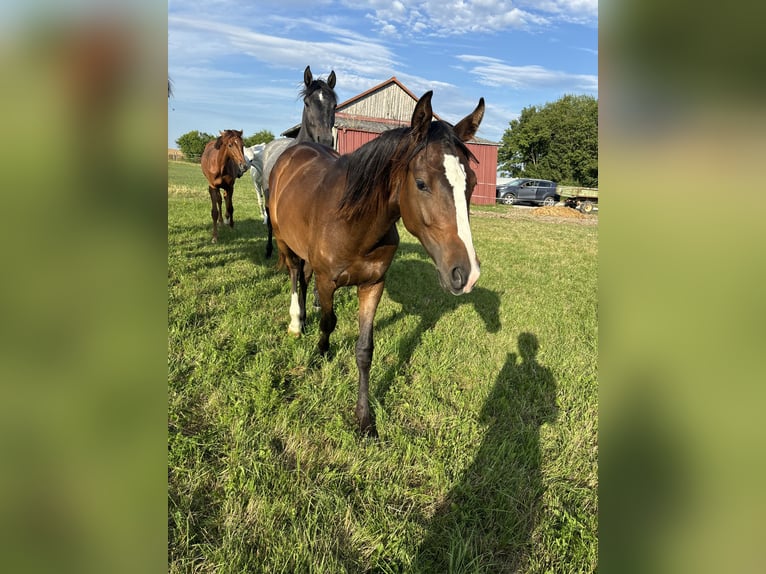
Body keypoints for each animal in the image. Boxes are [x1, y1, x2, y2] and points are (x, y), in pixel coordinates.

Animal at [270, 91, 486, 432]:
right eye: (421, 183)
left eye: (473, 183)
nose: (466, 274)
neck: (353, 223)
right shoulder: (327, 281)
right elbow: (329, 322)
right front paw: (320, 354)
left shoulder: (373, 284)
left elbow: (364, 350)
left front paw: (364, 417)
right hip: (283, 240)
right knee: (294, 275)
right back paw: (295, 322)